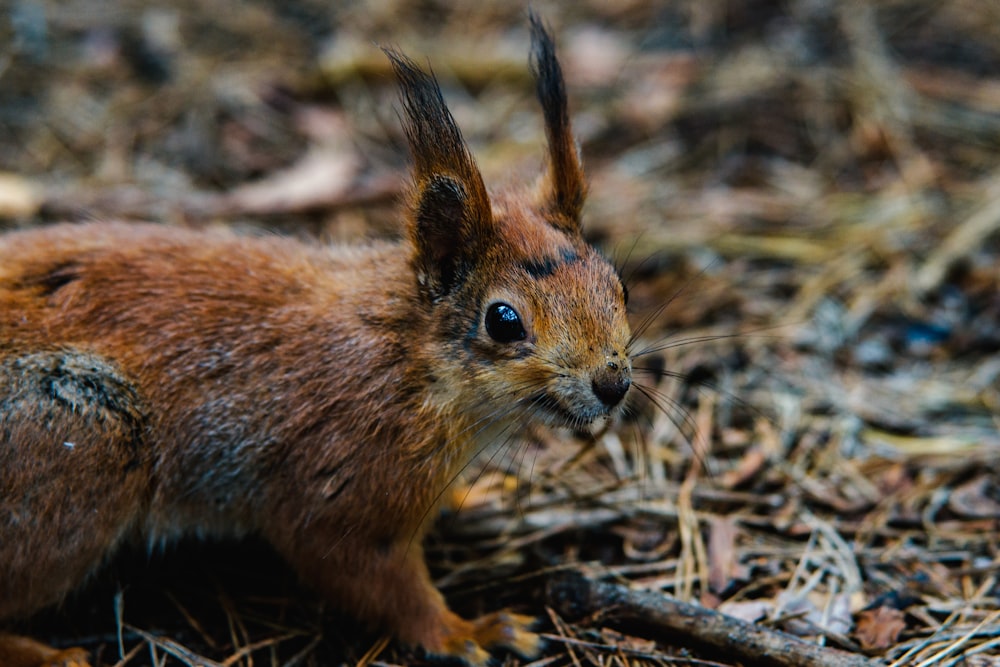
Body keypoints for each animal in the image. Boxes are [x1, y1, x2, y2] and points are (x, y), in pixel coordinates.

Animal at [0, 14, 632, 667]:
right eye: (503, 321)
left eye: (619, 285)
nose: (614, 383)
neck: (409, 359)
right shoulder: (340, 484)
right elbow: (378, 583)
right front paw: (469, 632)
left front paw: (471, 498)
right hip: (78, 440)